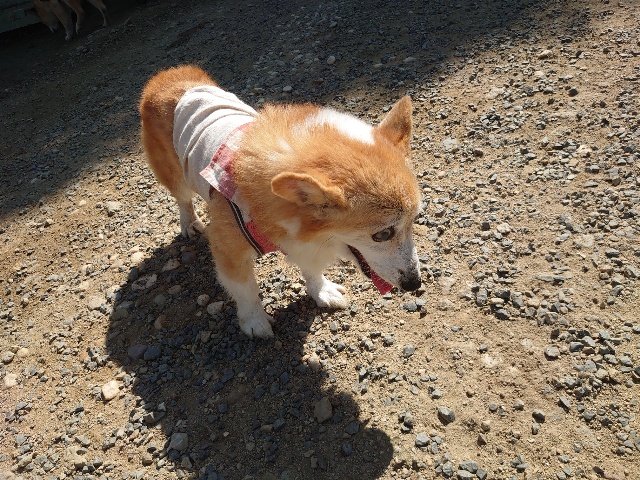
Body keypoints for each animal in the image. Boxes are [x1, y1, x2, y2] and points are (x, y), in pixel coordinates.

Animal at [139, 65, 422, 338]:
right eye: (383, 234)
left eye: (413, 222)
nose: (415, 284)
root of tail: (168, 74)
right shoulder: (228, 250)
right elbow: (246, 290)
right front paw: (255, 323)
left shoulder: (306, 244)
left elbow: (311, 270)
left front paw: (322, 292)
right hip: (176, 176)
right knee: (182, 199)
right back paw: (189, 223)